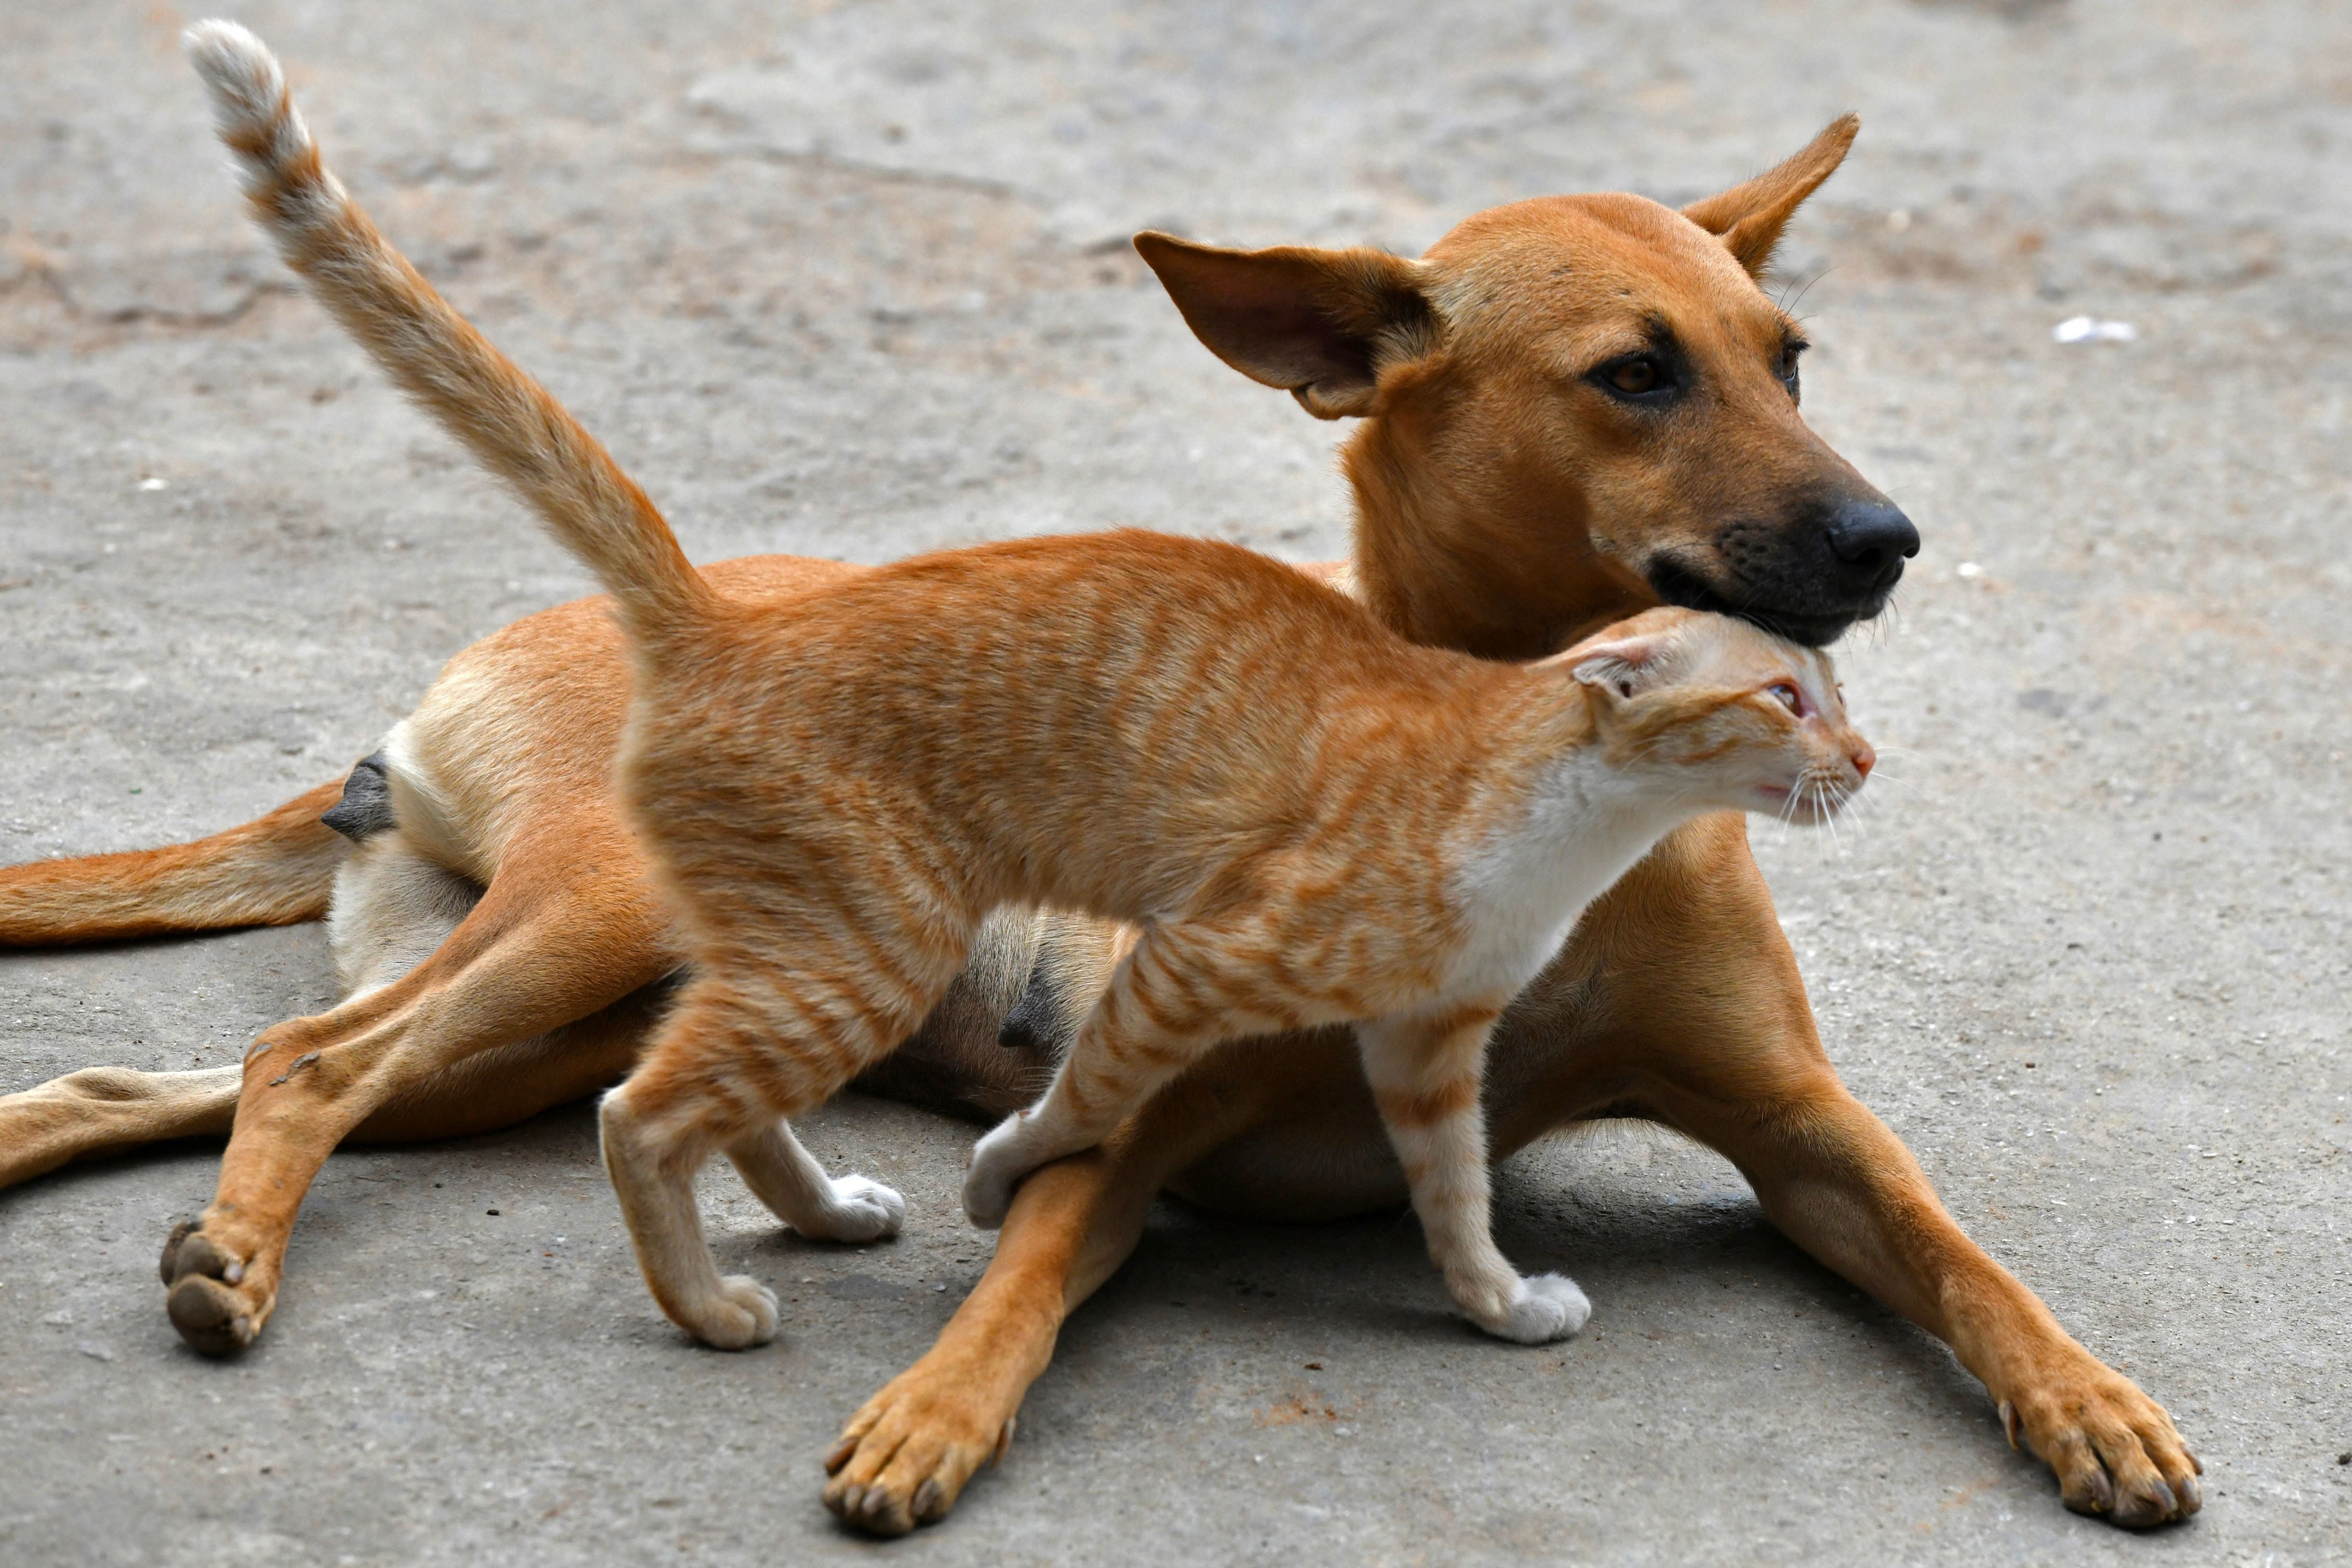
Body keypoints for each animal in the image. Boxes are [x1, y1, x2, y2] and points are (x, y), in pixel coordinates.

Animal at [4, 34, 2201, 1533]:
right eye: (1635, 373)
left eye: (1790, 354)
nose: (1886, 541)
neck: (1538, 760)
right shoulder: (1151, 1100)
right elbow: (1036, 1256)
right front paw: (937, 1403)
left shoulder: (1797, 1126)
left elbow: (1957, 1246)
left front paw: (2092, 1398)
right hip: (601, 942)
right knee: (315, 1066)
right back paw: (252, 1260)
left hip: (572, 1016)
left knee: (198, 1073)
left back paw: (135, 1183)